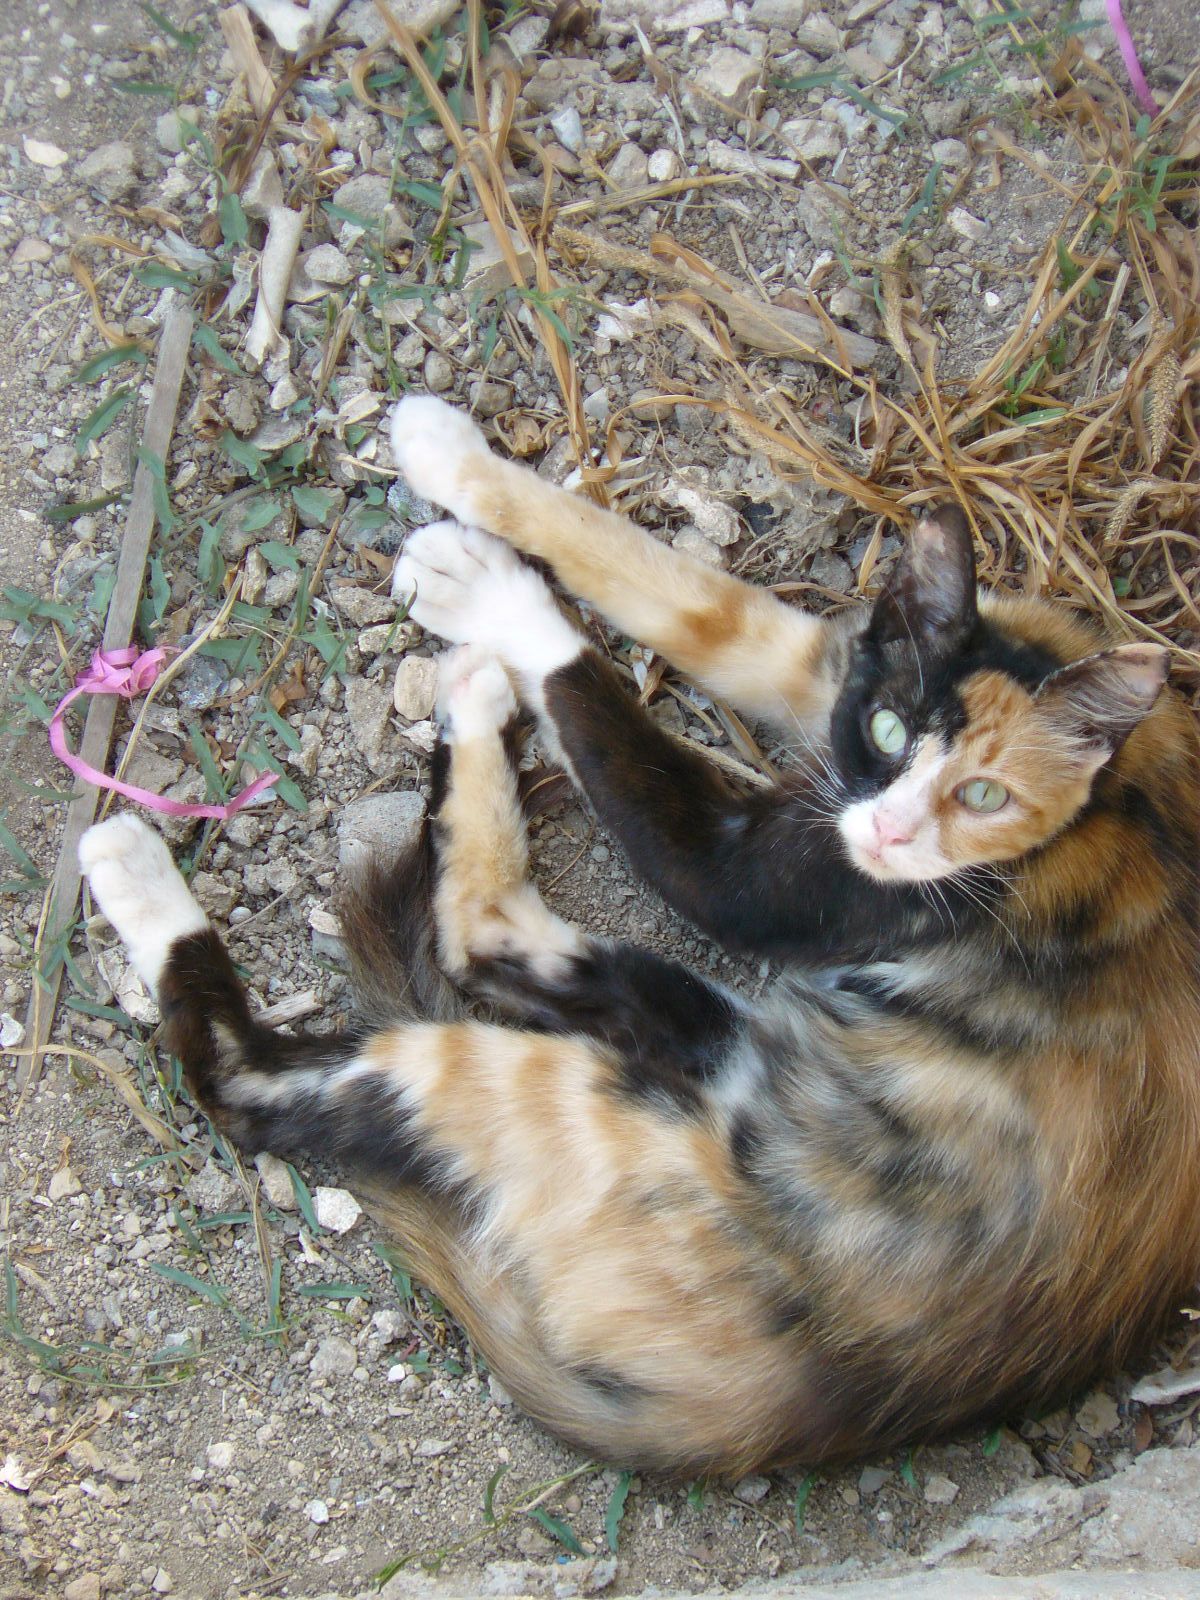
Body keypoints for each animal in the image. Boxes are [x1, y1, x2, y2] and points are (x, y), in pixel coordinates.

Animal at [78, 392, 1200, 1477]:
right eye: (888, 731)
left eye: (985, 794)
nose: (887, 830)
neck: (1109, 797)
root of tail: (751, 1424)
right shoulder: (826, 668)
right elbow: (678, 592)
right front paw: (456, 471)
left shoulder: (781, 876)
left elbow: (598, 701)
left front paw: (501, 599)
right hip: (705, 1033)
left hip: (591, 1106)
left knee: (304, 1045)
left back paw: (149, 860)